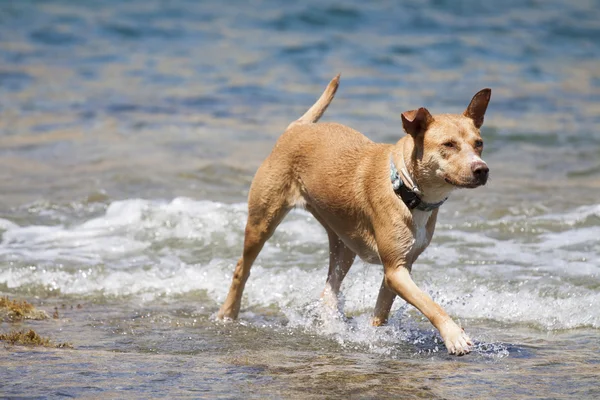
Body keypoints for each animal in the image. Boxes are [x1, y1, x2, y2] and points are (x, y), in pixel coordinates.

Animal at [218, 76, 490, 356]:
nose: (481, 169)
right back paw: (228, 314)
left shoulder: (400, 268)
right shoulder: (396, 270)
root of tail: (298, 127)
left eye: (479, 143)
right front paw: (454, 336)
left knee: (330, 289)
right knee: (242, 268)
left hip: (343, 240)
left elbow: (382, 312)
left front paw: (375, 335)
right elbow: (429, 303)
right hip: (263, 221)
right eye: (448, 145)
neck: (404, 187)